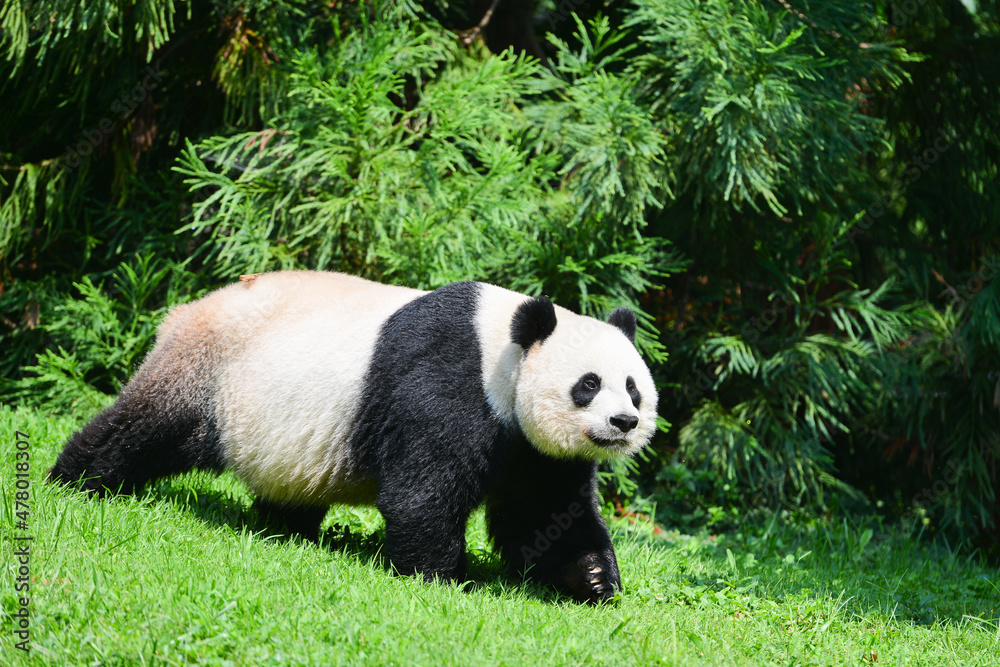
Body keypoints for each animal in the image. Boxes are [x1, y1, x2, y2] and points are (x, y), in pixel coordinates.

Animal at [50, 271, 658, 603]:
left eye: (633, 389)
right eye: (588, 384)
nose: (623, 424)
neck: (505, 348)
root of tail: (188, 307)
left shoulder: (535, 451)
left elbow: (545, 513)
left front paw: (593, 579)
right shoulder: (450, 379)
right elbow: (422, 492)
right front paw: (439, 578)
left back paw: (283, 527)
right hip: (207, 367)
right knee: (144, 427)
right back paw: (74, 480)